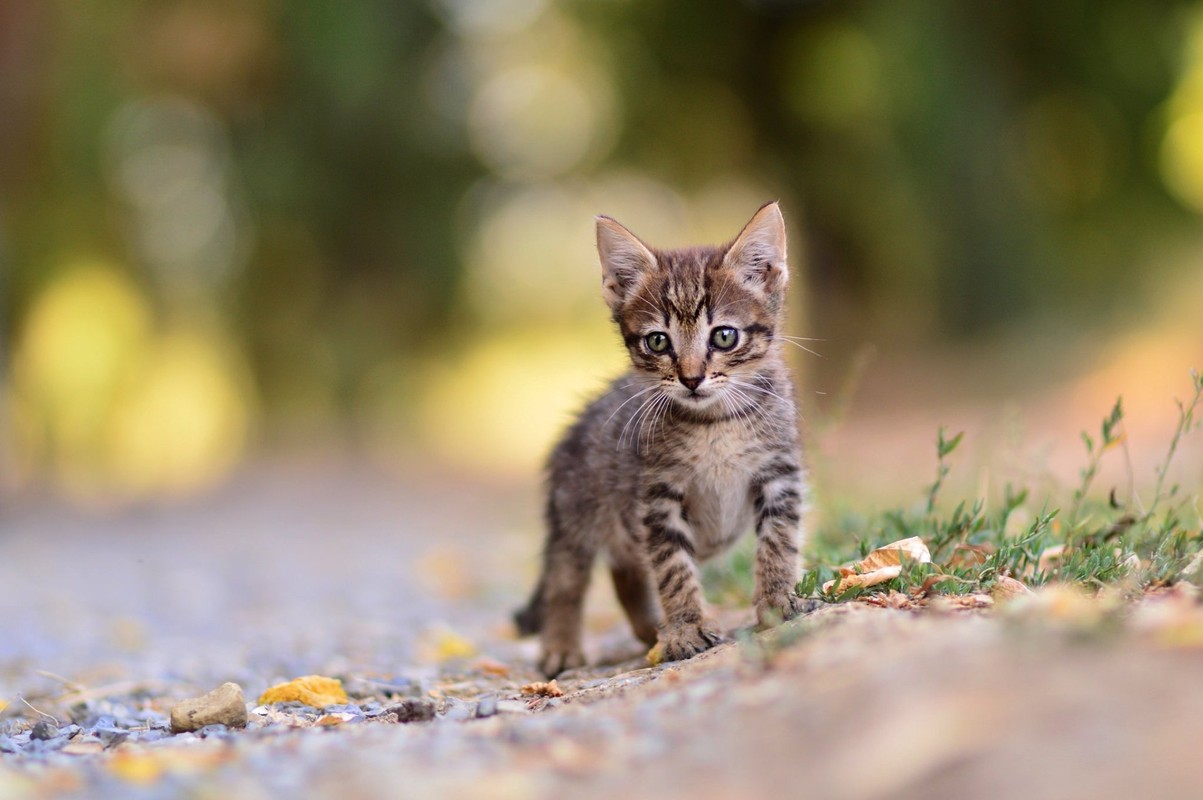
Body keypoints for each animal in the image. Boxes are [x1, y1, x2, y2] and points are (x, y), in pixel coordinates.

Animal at [514, 200, 808, 673]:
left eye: (724, 336)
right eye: (657, 342)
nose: (690, 378)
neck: (714, 424)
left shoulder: (778, 472)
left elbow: (779, 540)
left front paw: (778, 602)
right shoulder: (657, 495)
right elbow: (672, 567)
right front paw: (686, 629)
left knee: (625, 572)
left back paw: (650, 629)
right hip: (574, 514)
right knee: (566, 577)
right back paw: (562, 647)